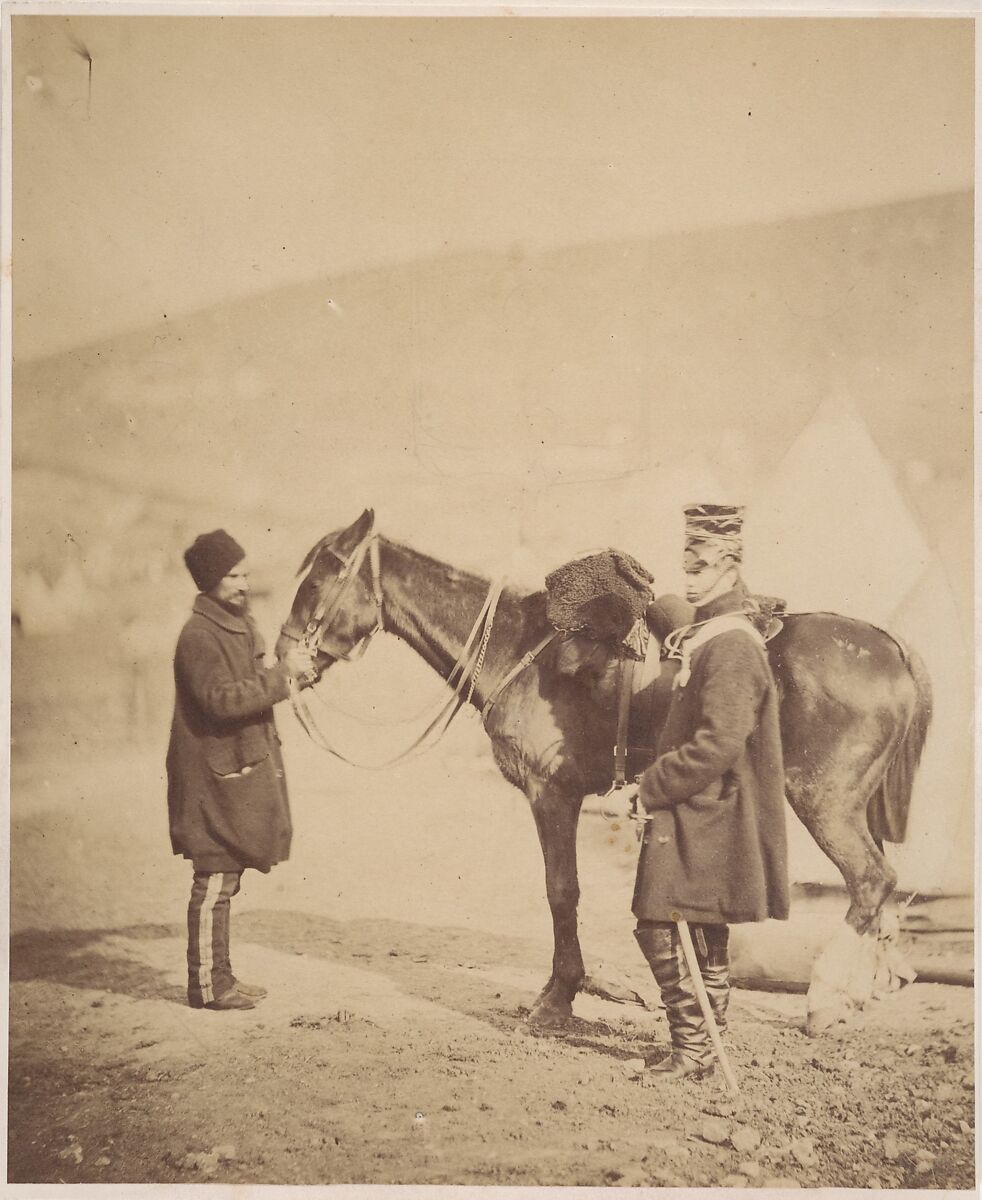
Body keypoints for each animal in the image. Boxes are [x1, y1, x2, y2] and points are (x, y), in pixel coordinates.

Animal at [273, 506, 926, 1032]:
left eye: (318, 581)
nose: (281, 660)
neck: (520, 647)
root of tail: (891, 648)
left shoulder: (551, 794)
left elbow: (562, 891)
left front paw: (557, 998)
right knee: (883, 888)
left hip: (824, 802)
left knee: (871, 880)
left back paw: (825, 999)